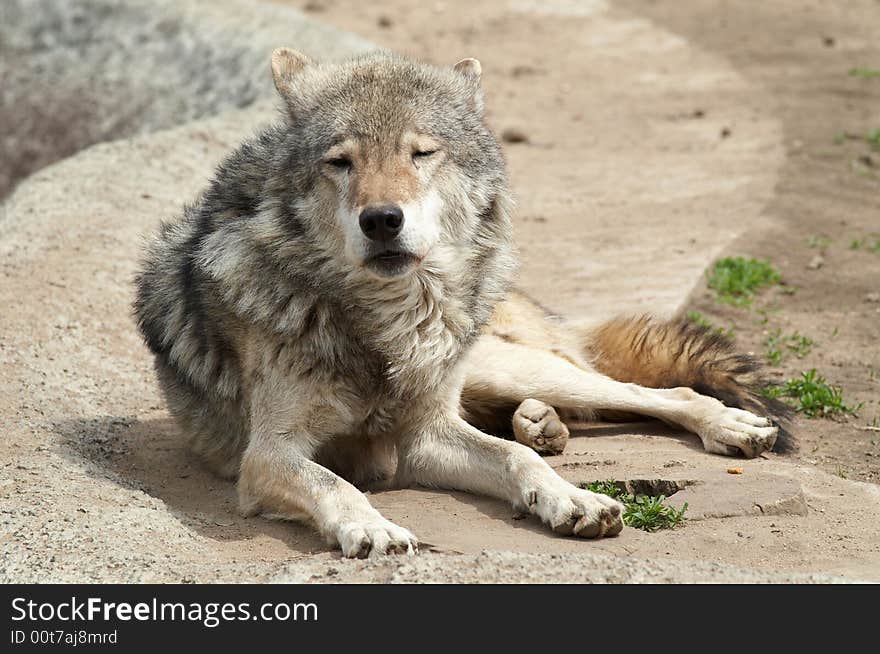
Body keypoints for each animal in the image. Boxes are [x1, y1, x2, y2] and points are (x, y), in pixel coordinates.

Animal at [134, 48, 788, 560]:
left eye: (421, 154)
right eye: (340, 161)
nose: (381, 219)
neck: (387, 325)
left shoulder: (425, 435)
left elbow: (517, 462)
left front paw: (571, 498)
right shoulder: (269, 455)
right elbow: (332, 483)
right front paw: (372, 527)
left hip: (507, 366)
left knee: (651, 393)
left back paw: (725, 425)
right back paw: (542, 424)